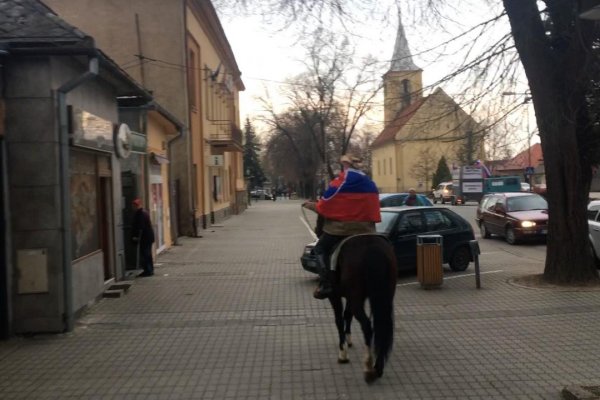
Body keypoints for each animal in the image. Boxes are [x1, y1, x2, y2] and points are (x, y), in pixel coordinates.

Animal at [326, 234, 396, 384]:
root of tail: (371, 246)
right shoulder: (352, 297)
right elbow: (347, 315)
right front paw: (349, 340)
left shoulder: (334, 296)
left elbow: (339, 319)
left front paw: (343, 353)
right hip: (385, 296)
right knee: (383, 325)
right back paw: (378, 368)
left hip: (355, 296)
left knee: (367, 325)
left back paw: (368, 368)